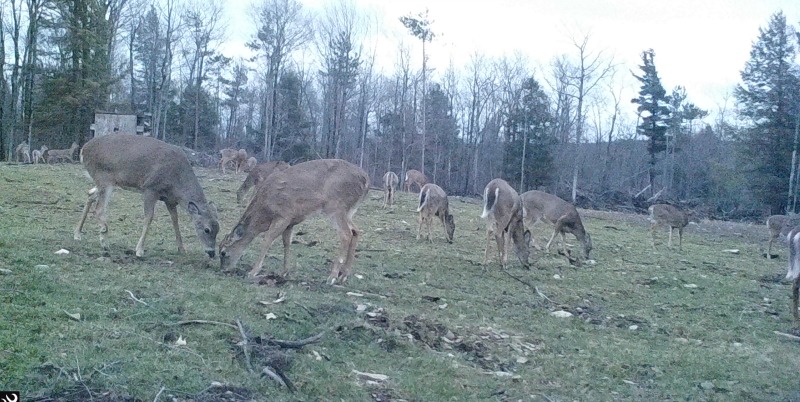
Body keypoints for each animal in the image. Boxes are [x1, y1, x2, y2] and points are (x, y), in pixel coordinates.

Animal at [74, 132, 220, 258]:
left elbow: (175, 220)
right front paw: (139, 250)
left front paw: (182, 249)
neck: (177, 182)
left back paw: (77, 234)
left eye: (218, 229)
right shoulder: (150, 188)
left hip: (105, 181)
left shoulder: (170, 199)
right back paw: (104, 240)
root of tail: (84, 149)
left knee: (90, 194)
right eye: (207, 230)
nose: (212, 253)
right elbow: (149, 217)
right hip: (104, 177)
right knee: (99, 209)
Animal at [217, 157, 370, 282]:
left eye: (223, 252)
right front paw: (284, 271)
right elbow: (287, 243)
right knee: (356, 231)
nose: (223, 269)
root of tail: (366, 181)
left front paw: (253, 272)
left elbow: (267, 240)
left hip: (336, 206)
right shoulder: (291, 222)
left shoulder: (283, 215)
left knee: (346, 234)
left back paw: (332, 277)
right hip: (349, 210)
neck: (264, 213)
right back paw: (344, 275)